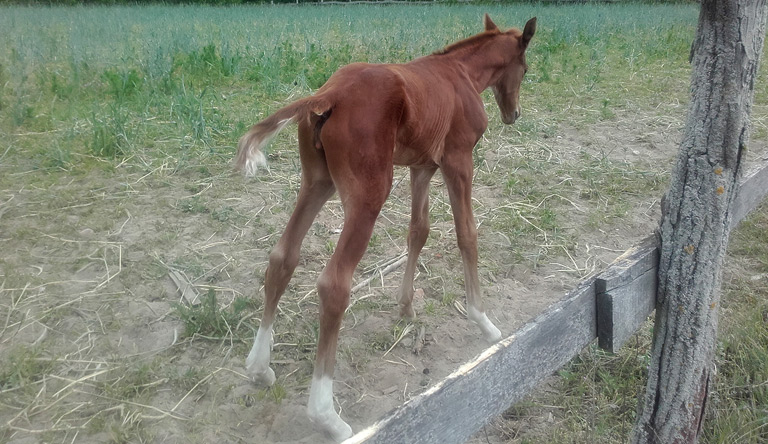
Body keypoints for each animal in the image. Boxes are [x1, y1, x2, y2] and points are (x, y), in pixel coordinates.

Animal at [237, 14, 536, 440]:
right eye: (524, 70)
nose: (514, 114)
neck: (461, 73)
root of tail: (326, 97)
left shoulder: (422, 165)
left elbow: (418, 230)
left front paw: (406, 307)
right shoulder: (458, 159)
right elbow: (467, 233)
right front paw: (483, 321)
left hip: (317, 182)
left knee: (282, 257)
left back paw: (259, 367)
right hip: (369, 194)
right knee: (334, 285)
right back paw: (326, 416)